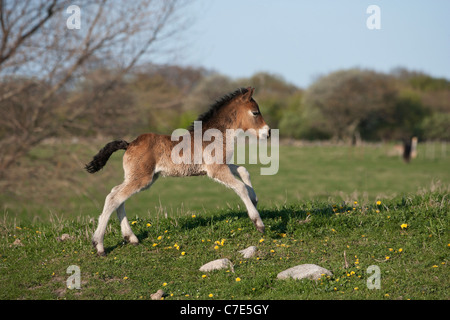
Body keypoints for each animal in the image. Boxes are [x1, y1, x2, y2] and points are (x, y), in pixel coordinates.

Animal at [87, 87, 270, 255]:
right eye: (255, 112)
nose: (267, 132)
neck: (215, 136)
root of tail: (130, 143)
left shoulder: (220, 165)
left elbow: (243, 170)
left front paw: (254, 198)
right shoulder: (216, 169)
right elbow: (240, 187)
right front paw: (258, 223)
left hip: (141, 178)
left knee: (117, 194)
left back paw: (131, 238)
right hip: (141, 178)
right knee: (114, 197)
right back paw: (99, 245)